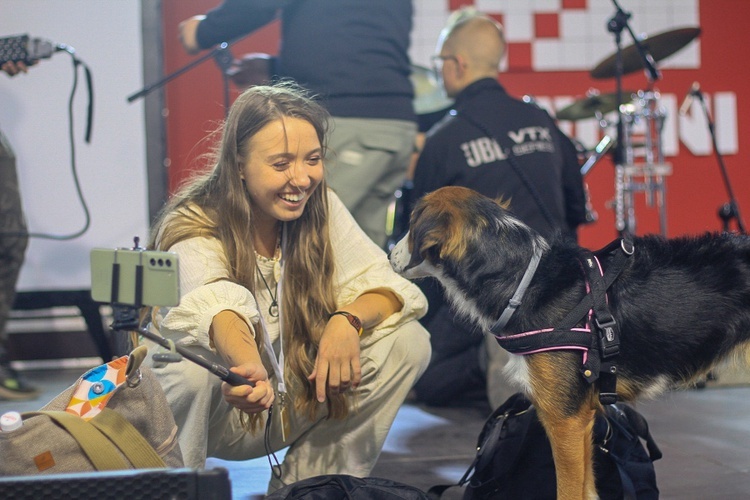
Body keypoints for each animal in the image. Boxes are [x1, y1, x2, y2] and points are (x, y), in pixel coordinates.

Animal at [390, 186, 750, 498]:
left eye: (410, 224)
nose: (390, 253)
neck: (523, 281)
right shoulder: (581, 419)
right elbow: (587, 490)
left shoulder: (565, 419)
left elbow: (568, 491)